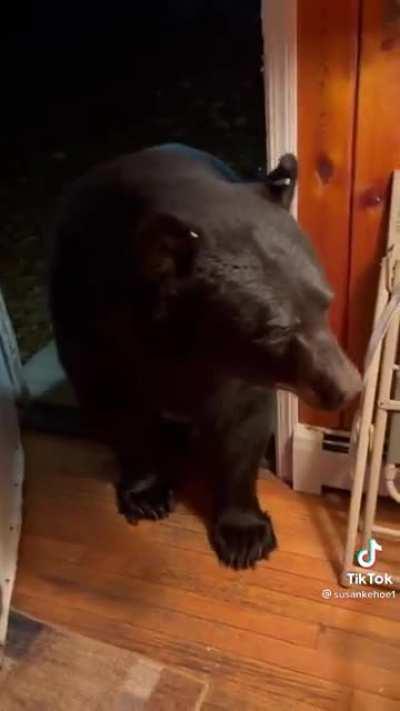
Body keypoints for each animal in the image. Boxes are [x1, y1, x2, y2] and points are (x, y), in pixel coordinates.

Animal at [49, 143, 361, 569]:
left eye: (325, 303)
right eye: (277, 328)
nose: (348, 388)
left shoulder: (239, 373)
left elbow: (242, 426)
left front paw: (245, 533)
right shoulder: (92, 324)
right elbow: (116, 406)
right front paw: (146, 494)